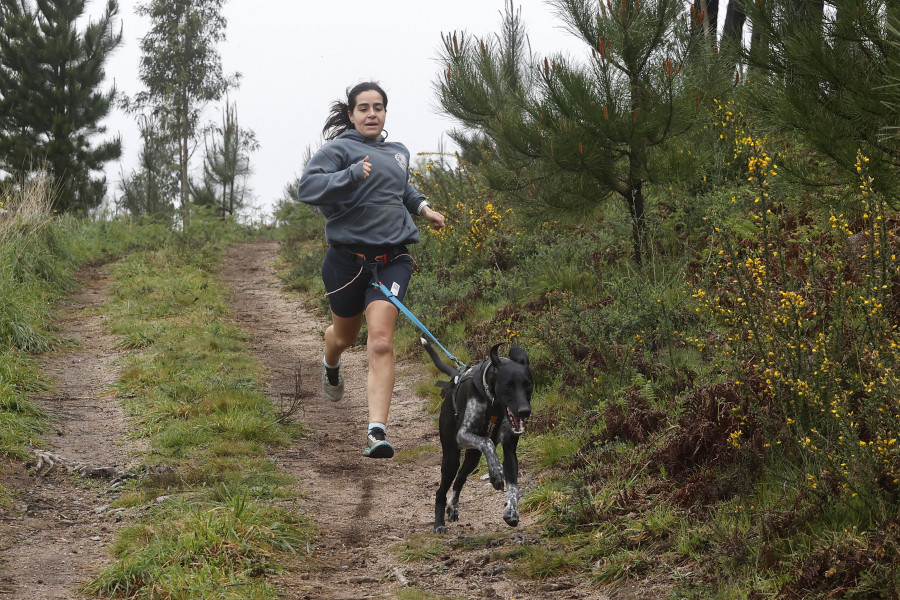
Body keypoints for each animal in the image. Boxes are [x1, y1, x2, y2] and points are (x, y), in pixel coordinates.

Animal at [422, 338, 536, 536]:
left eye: (527, 384)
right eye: (508, 385)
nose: (524, 411)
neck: (494, 403)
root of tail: (455, 377)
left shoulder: (509, 450)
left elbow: (514, 486)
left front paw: (511, 510)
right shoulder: (462, 434)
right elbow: (488, 442)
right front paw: (496, 473)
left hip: (472, 458)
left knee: (460, 478)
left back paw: (453, 507)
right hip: (451, 457)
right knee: (441, 490)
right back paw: (439, 523)